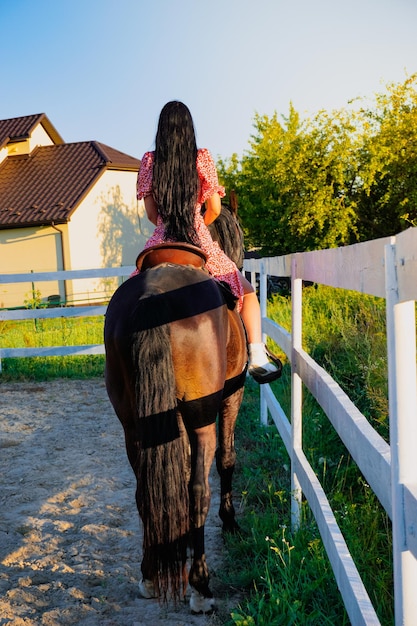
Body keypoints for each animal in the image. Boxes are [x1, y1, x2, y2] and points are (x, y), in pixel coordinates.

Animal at [104, 204, 247, 608]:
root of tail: (154, 296)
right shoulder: (231, 397)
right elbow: (226, 460)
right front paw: (230, 522)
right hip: (201, 417)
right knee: (198, 488)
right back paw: (200, 584)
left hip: (135, 425)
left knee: (145, 491)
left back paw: (151, 574)